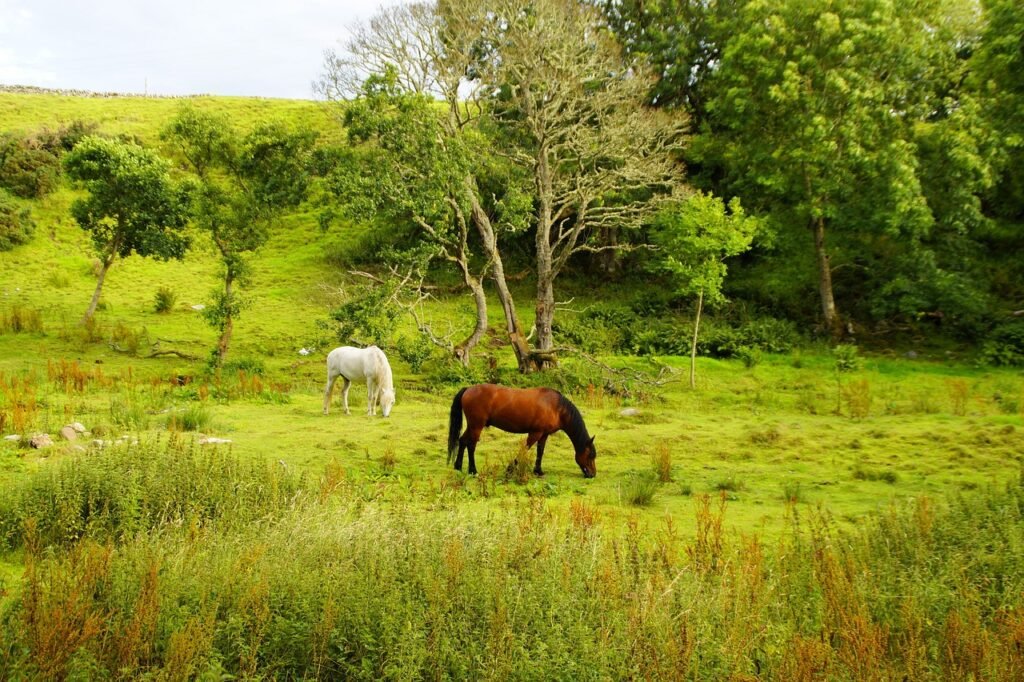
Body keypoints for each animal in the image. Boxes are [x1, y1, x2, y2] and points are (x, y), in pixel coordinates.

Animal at [447, 384, 597, 478]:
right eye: (590, 455)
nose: (592, 474)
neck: (556, 408)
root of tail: (468, 389)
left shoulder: (544, 434)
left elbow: (540, 451)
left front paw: (538, 471)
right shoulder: (535, 433)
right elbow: (525, 449)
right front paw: (510, 469)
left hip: (472, 426)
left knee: (462, 441)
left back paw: (458, 466)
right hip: (476, 426)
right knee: (471, 445)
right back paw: (473, 471)